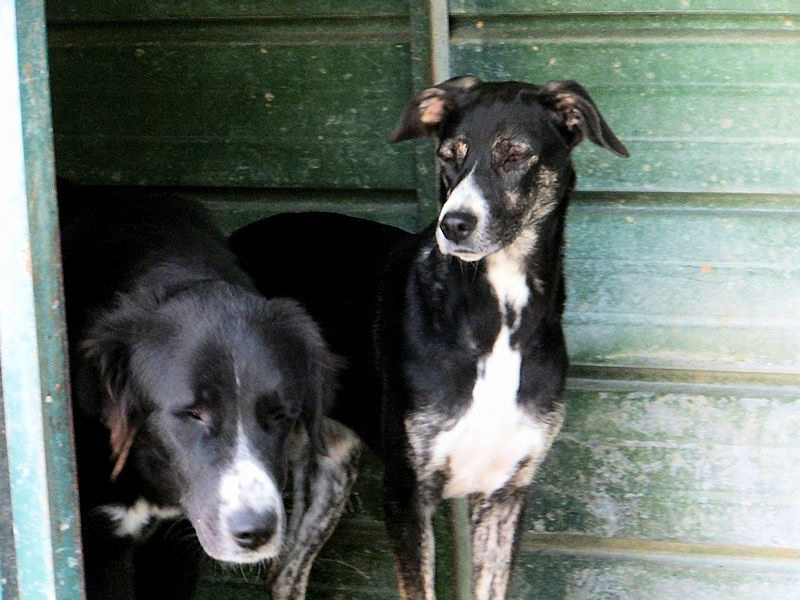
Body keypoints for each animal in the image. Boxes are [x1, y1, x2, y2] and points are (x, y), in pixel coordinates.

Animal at [230, 76, 629, 599]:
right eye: (449, 156)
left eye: (514, 155)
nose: (453, 224)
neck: (497, 315)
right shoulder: (405, 494)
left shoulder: (506, 494)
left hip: (331, 468)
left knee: (285, 573)